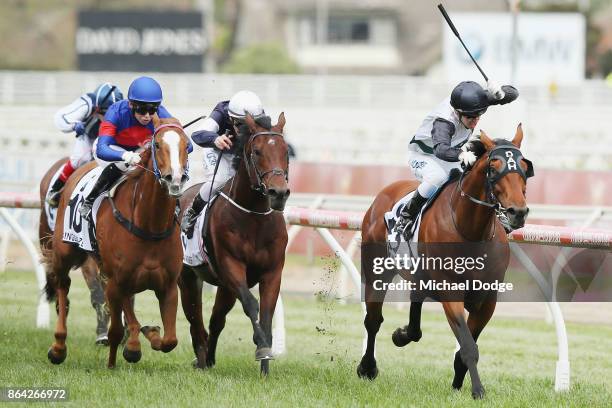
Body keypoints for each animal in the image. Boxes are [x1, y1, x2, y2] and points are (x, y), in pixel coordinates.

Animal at [179, 113, 290, 374]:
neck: (254, 216)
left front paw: (265, 367)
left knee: (216, 320)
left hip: (224, 288)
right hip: (187, 276)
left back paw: (208, 358)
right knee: (195, 319)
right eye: (257, 151)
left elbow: (267, 313)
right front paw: (261, 346)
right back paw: (201, 358)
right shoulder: (232, 265)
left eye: (286, 151)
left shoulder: (272, 271)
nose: (278, 193)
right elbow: (251, 304)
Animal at [356, 125, 532, 398]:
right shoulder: (451, 292)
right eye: (493, 167)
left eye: (524, 167)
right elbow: (469, 347)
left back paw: (402, 335)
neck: (472, 231)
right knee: (373, 320)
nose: (518, 213)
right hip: (377, 272)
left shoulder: (487, 300)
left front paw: (458, 386)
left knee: (414, 318)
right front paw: (478, 390)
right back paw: (367, 367)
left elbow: (464, 348)